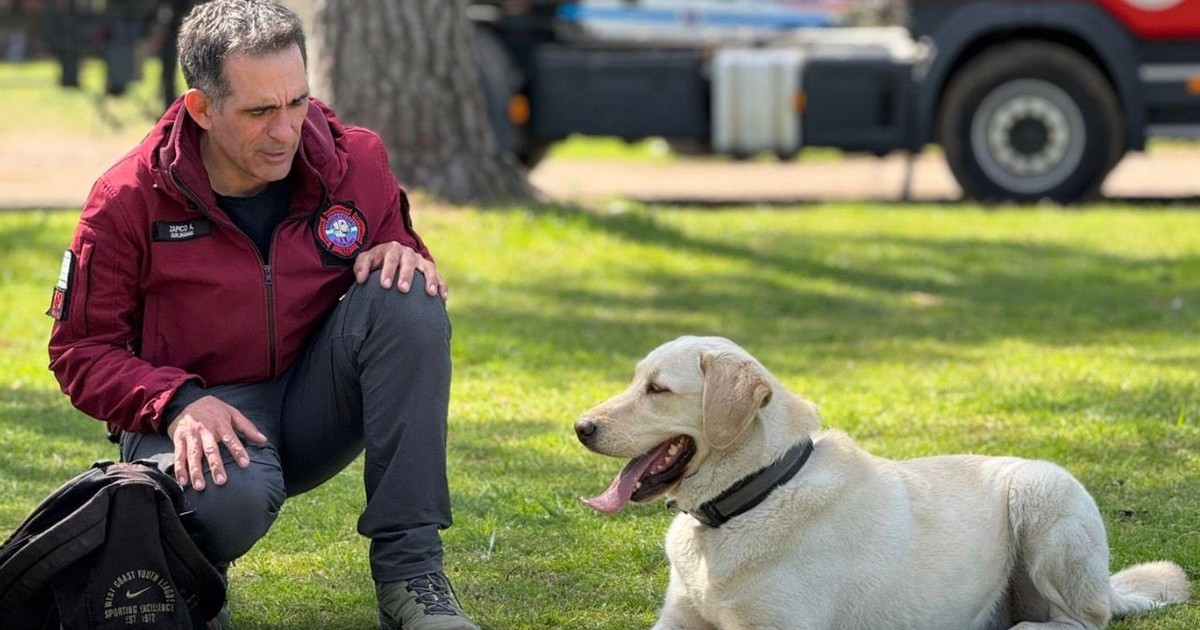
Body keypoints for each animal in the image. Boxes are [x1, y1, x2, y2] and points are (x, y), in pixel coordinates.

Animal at [575, 336, 1189, 630]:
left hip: (1043, 493)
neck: (755, 494)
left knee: (1084, 621)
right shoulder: (676, 621)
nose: (580, 427)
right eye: (636, 381)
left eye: (658, 390)